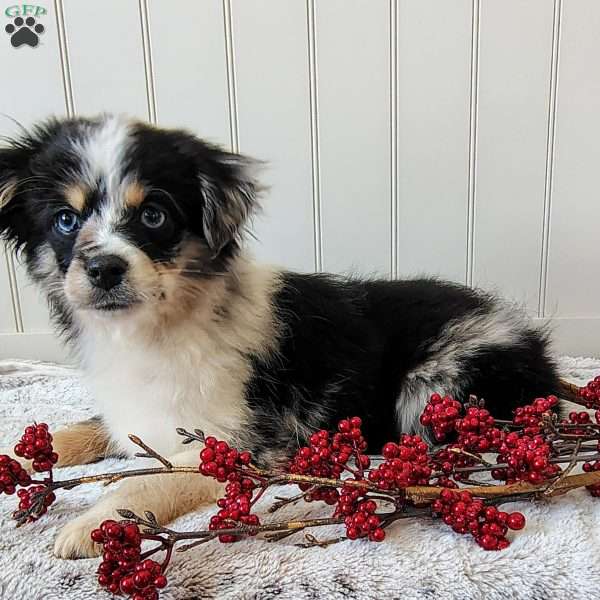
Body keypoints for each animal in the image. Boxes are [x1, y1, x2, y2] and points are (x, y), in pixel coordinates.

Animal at [0, 116, 560, 556]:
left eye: (154, 216)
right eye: (65, 220)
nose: (103, 269)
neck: (158, 327)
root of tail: (536, 347)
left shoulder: (244, 440)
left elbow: (156, 478)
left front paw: (93, 524)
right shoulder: (137, 411)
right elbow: (86, 428)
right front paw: (25, 455)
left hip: (436, 381)